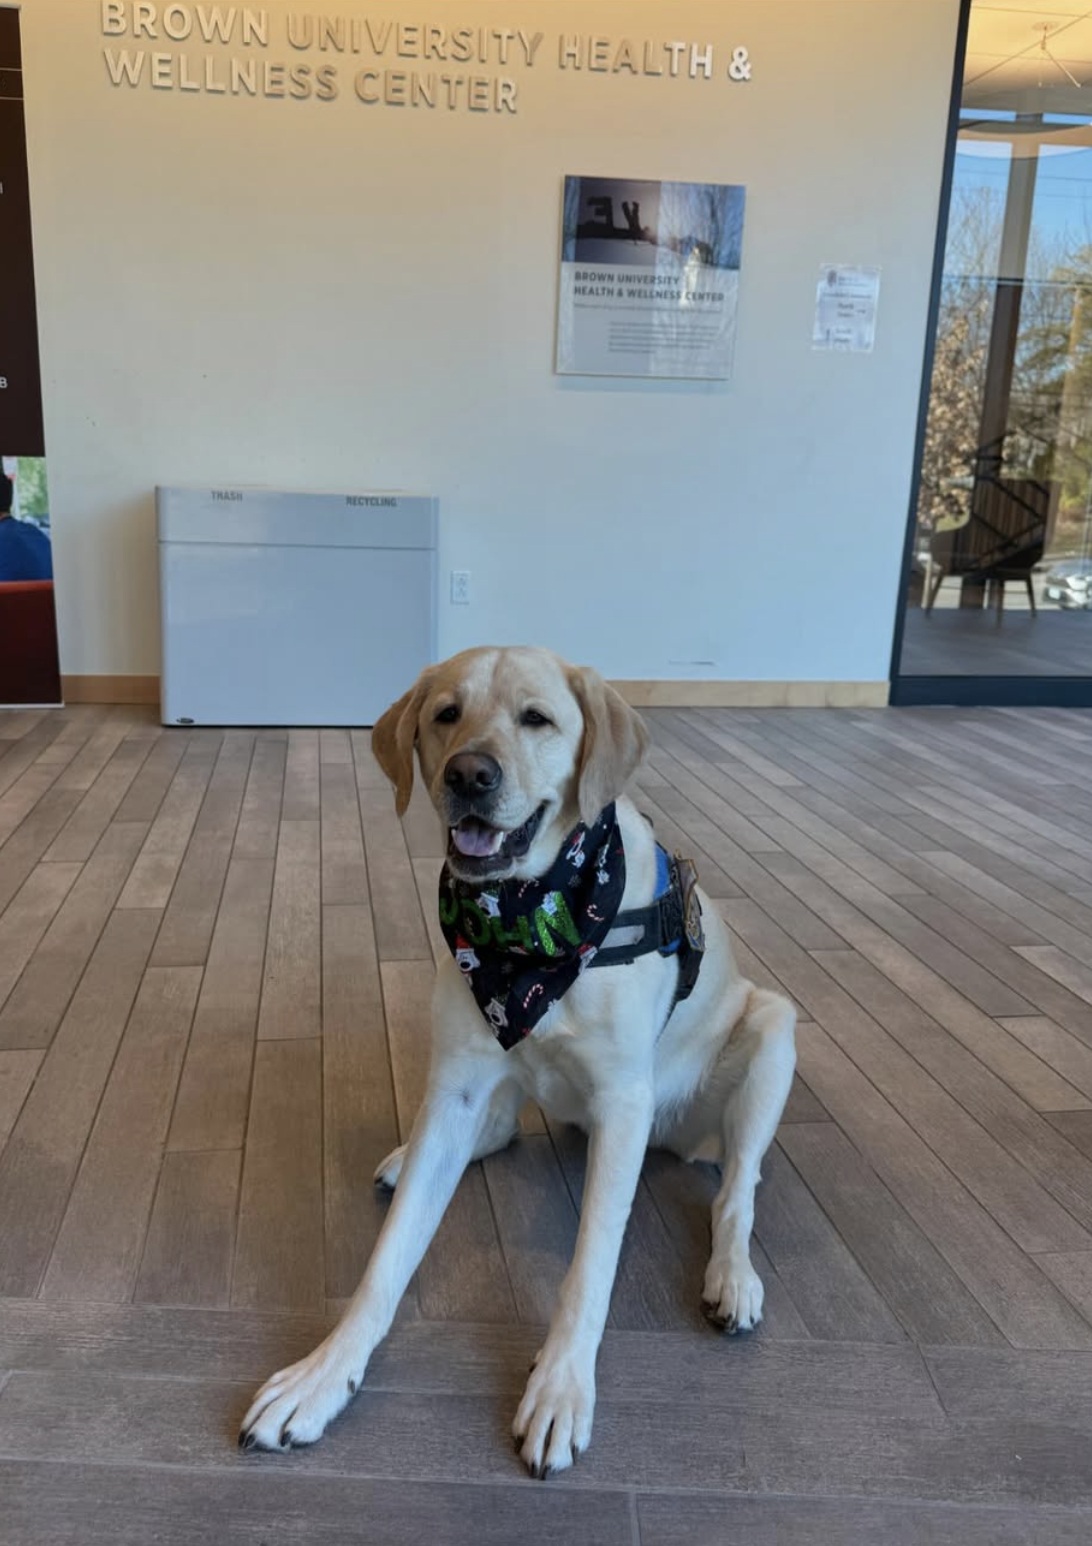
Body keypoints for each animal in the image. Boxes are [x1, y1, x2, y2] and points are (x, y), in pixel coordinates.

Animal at [240, 646, 797, 1477]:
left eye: (537, 719)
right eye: (446, 714)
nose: (469, 774)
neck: (530, 926)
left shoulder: (624, 1104)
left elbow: (591, 1265)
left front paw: (561, 1387)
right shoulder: (459, 1081)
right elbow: (388, 1258)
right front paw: (323, 1375)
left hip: (771, 1030)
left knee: (738, 1189)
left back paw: (733, 1276)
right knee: (495, 1127)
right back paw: (416, 1156)